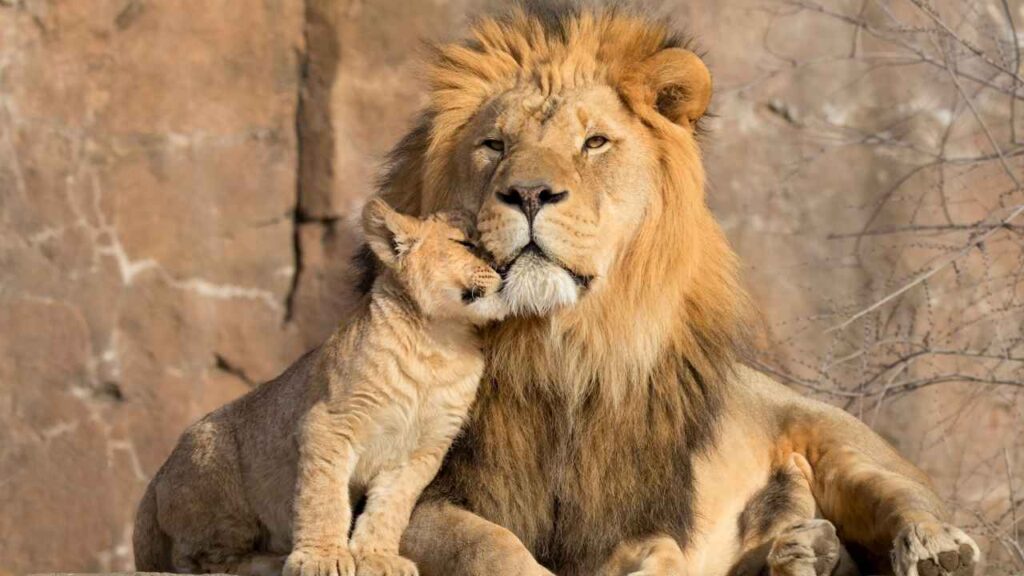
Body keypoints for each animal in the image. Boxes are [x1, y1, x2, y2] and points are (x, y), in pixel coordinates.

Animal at [133, 200, 506, 576]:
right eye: (466, 244)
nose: (505, 269)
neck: (441, 342)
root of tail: (154, 480)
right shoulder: (330, 423)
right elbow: (324, 497)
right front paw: (322, 557)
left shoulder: (421, 451)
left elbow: (390, 508)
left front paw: (377, 557)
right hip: (216, 464)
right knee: (201, 561)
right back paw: (273, 561)